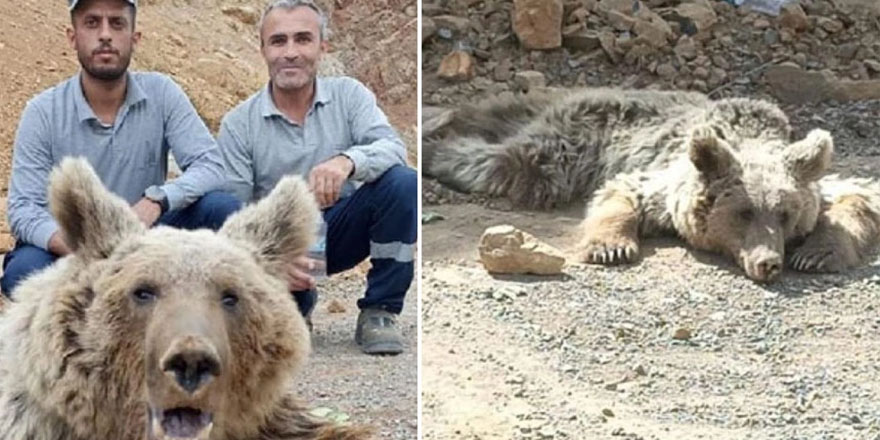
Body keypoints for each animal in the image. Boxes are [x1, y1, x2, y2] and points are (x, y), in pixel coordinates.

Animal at [424, 87, 880, 284]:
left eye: (785, 214)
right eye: (743, 212)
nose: (769, 262)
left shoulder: (817, 181)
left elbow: (857, 194)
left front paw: (817, 254)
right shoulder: (662, 180)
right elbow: (622, 192)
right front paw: (611, 247)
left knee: (497, 116)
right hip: (564, 146)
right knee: (507, 161)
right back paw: (437, 144)